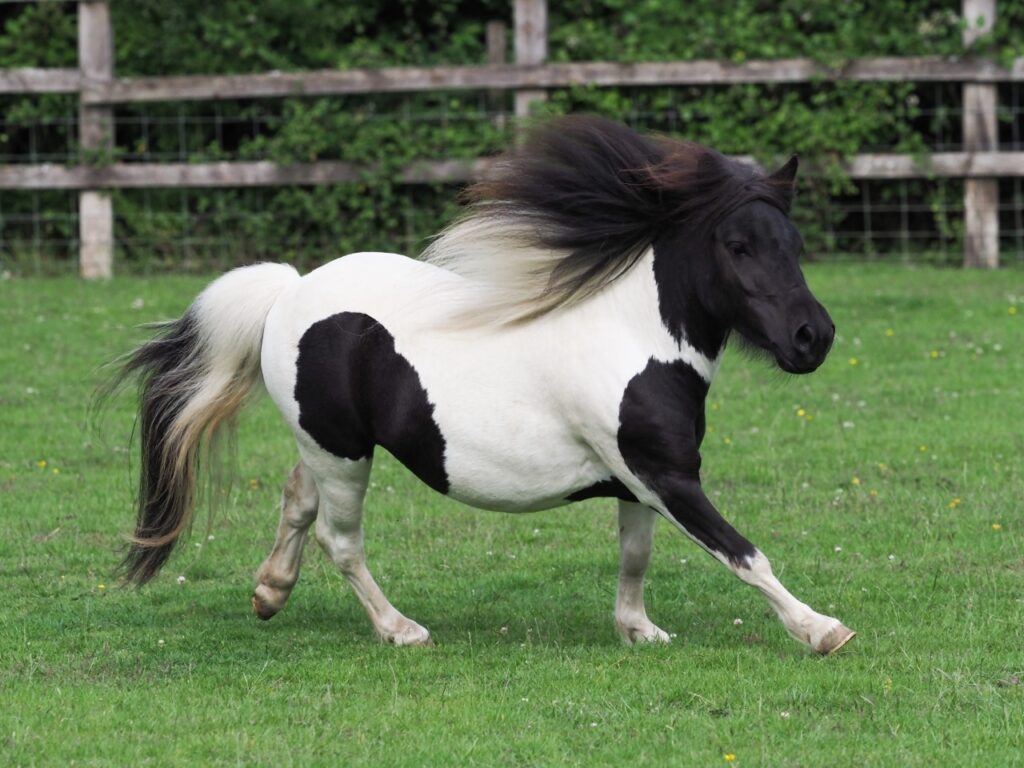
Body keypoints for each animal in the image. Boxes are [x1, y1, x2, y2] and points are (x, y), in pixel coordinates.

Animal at [111, 115, 854, 654]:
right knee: (339, 539)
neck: (633, 337)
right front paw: (822, 631)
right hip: (344, 454)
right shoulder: (666, 476)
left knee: (298, 500)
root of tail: (289, 290)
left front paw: (639, 630)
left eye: (794, 243)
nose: (812, 338)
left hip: (328, 445)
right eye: (738, 246)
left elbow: (636, 555)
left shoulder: (642, 480)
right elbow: (744, 554)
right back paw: (400, 630)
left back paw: (269, 594)